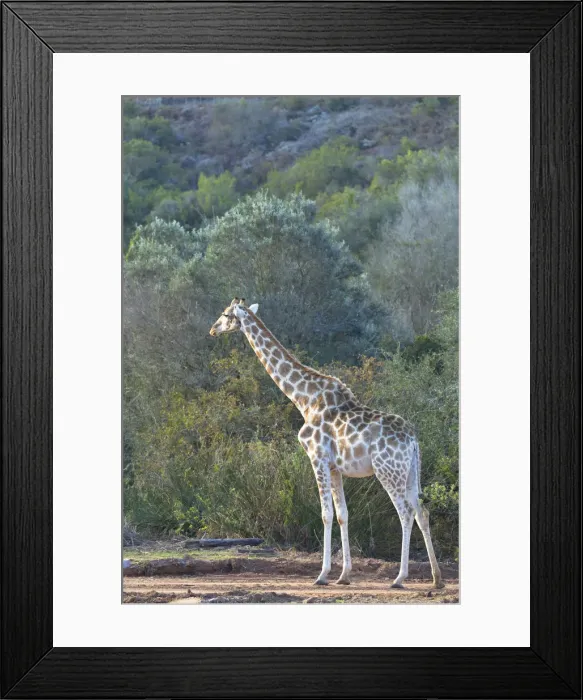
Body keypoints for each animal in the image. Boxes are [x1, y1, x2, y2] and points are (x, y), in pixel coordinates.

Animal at [209, 298, 444, 589]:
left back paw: (400, 577)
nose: (213, 329)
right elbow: (343, 514)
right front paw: (344, 576)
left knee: (405, 512)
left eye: (225, 314)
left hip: (388, 471)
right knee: (423, 512)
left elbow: (325, 514)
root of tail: (412, 440)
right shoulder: (335, 467)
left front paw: (322, 575)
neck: (304, 399)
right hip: (411, 472)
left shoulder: (317, 457)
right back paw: (437, 578)